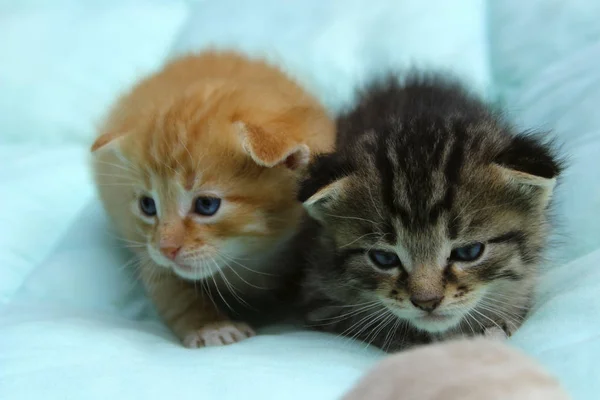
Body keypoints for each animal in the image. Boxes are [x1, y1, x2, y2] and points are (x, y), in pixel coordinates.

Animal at [91, 52, 336, 346]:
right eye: (147, 205)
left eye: (206, 205)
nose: (166, 248)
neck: (249, 259)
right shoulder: (149, 255)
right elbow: (174, 292)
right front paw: (212, 327)